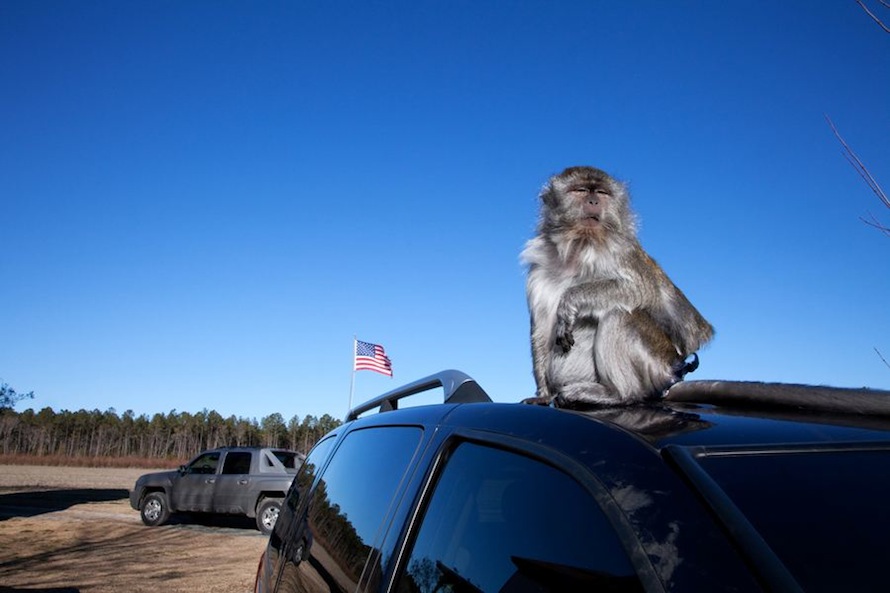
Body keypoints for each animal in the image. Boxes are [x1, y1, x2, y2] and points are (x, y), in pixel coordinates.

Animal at [521, 166, 714, 407]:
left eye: (602, 193)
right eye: (580, 190)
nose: (593, 201)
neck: (579, 247)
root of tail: (675, 370)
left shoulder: (623, 253)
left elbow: (641, 290)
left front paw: (570, 299)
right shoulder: (539, 271)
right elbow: (542, 329)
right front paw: (543, 394)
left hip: (656, 368)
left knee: (619, 313)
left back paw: (617, 394)